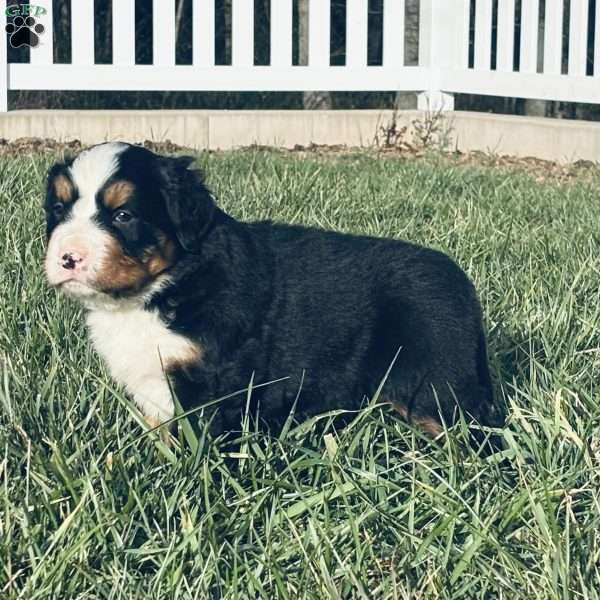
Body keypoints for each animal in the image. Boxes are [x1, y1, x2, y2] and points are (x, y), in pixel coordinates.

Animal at [44, 143, 506, 438]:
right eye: (59, 209)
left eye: (123, 215)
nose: (68, 257)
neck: (159, 291)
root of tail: (461, 283)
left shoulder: (214, 385)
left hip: (436, 386)